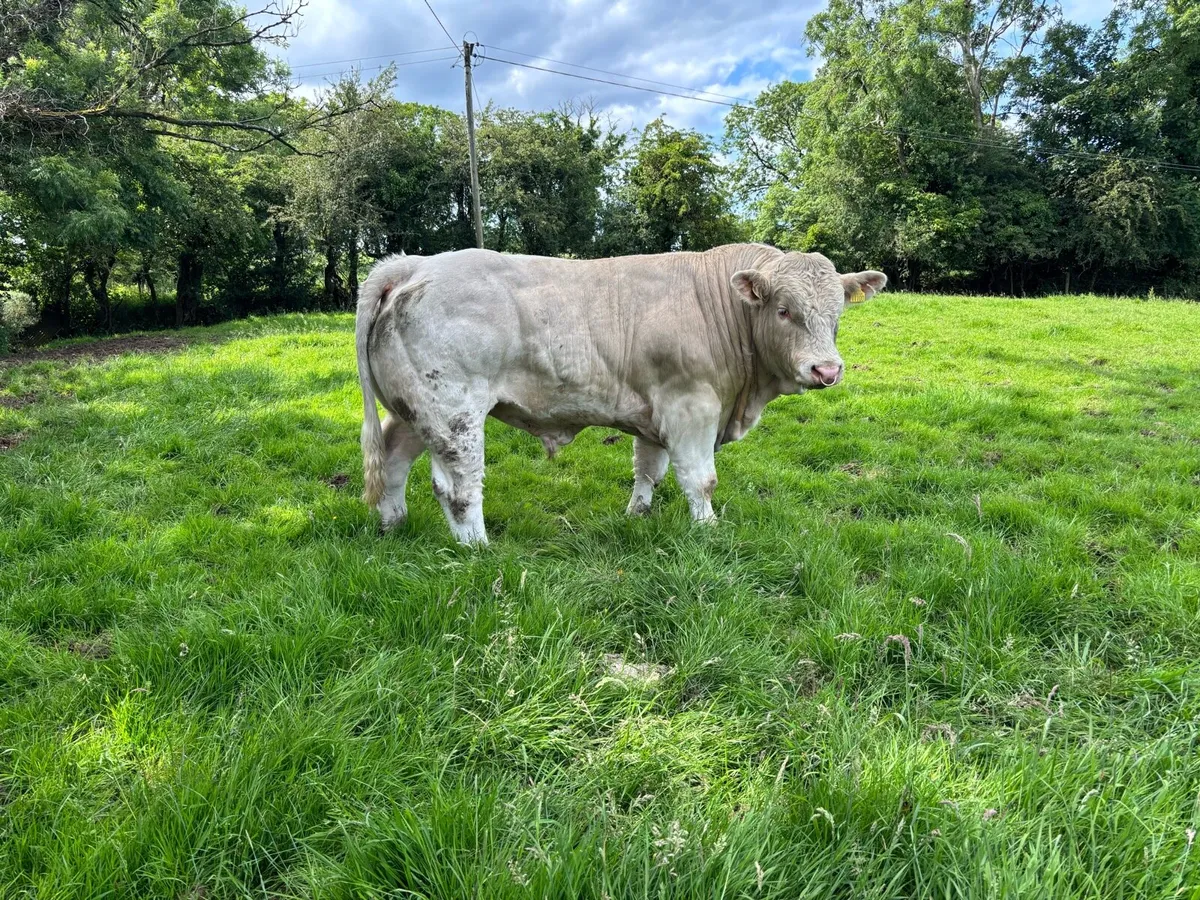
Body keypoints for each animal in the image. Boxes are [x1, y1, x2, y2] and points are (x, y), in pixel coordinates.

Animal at [355, 244, 886, 544]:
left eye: (838, 312)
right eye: (783, 310)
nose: (827, 369)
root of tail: (412, 265)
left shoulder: (655, 413)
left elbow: (649, 471)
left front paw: (637, 516)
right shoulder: (691, 407)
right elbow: (701, 479)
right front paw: (709, 532)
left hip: (413, 411)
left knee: (393, 461)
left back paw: (392, 525)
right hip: (453, 412)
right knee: (459, 487)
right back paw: (478, 549)